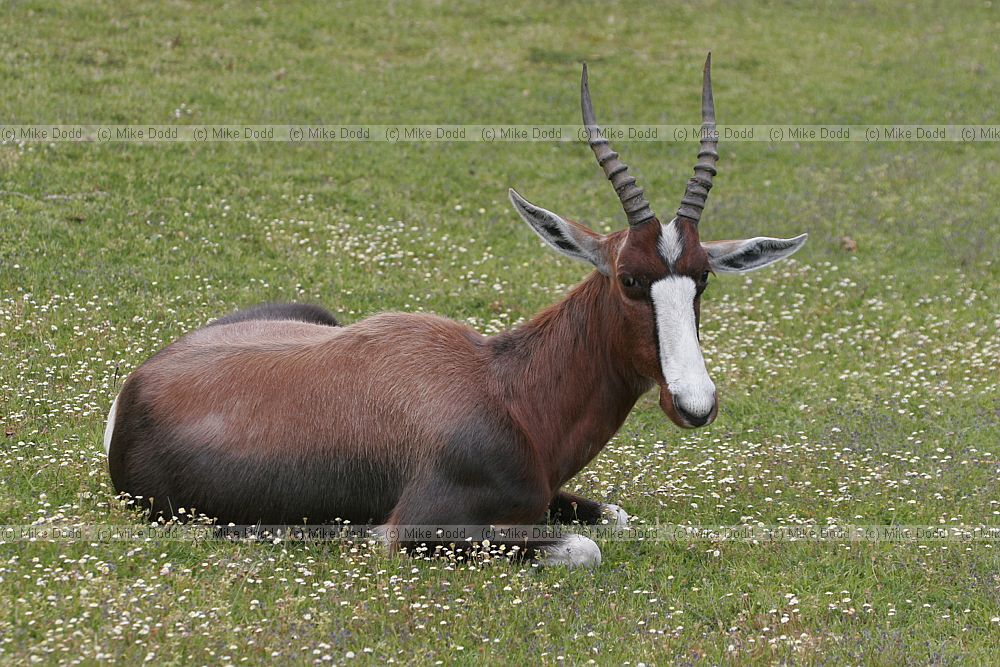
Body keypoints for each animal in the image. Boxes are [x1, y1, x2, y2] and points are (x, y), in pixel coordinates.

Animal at [105, 56, 804, 568]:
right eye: (631, 279)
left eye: (701, 279)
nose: (695, 403)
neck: (506, 390)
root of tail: (137, 385)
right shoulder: (422, 528)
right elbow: (585, 546)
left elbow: (615, 518)